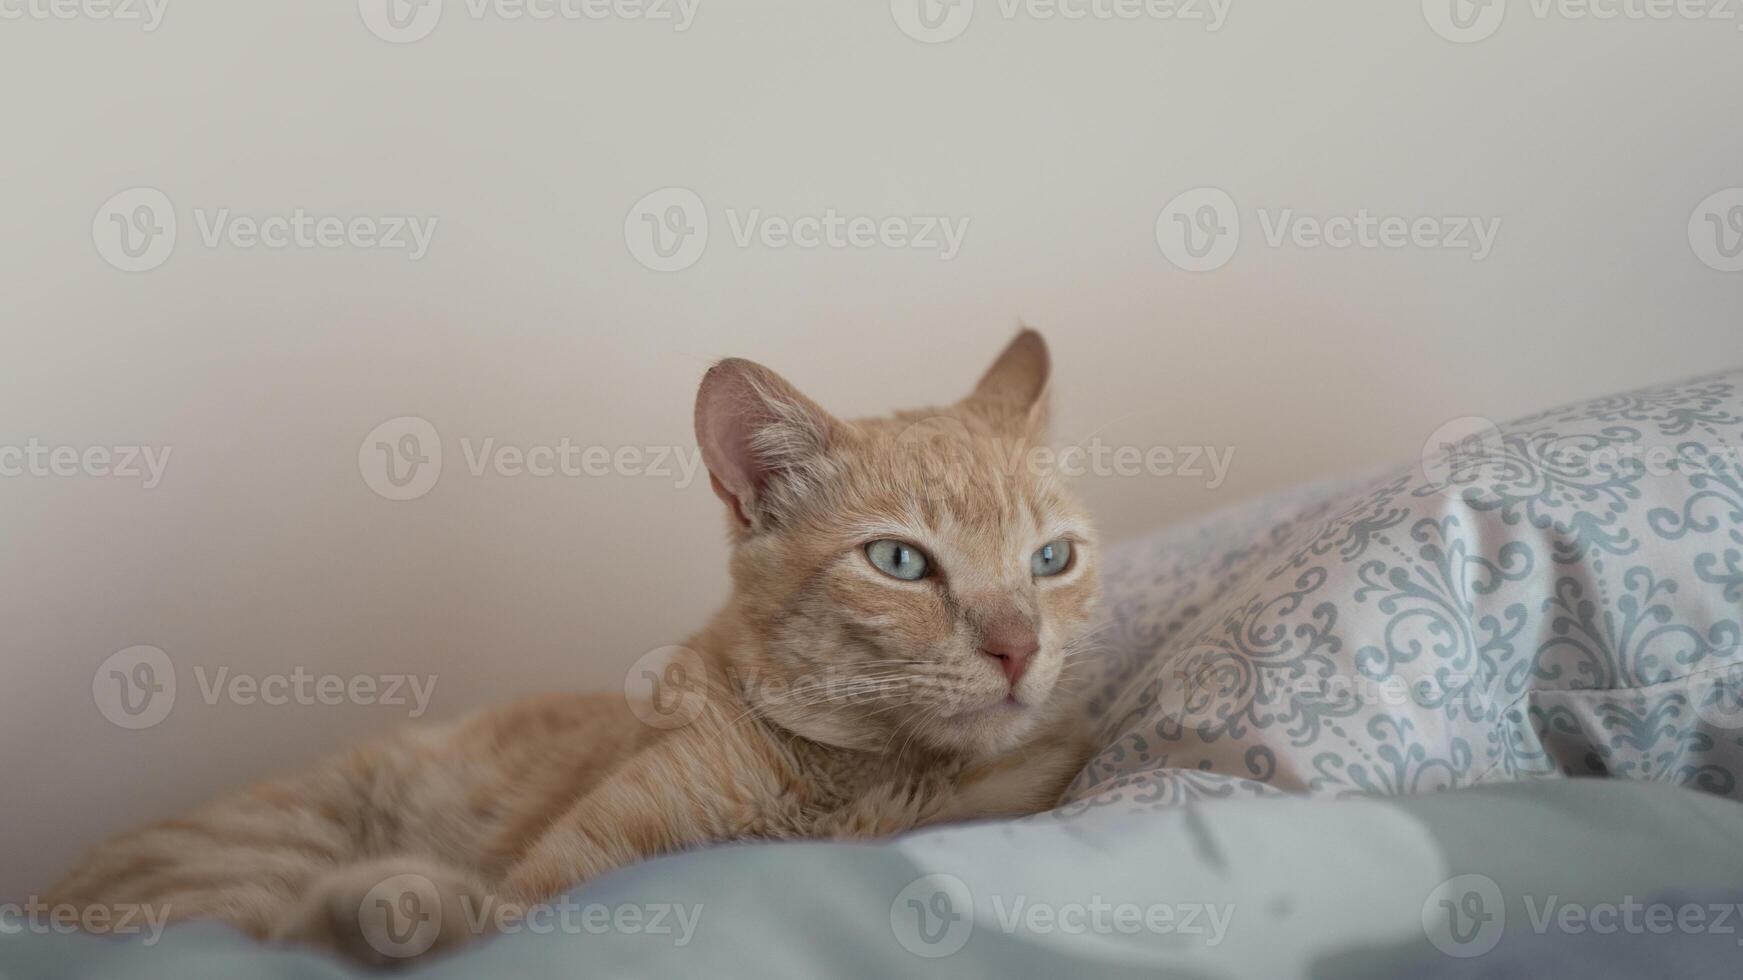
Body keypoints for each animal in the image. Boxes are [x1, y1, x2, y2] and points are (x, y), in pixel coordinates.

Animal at [50, 327, 1101, 962]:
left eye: (1050, 558)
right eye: (899, 561)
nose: (1016, 646)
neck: (867, 778)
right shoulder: (562, 886)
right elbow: (500, 920)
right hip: (260, 850)